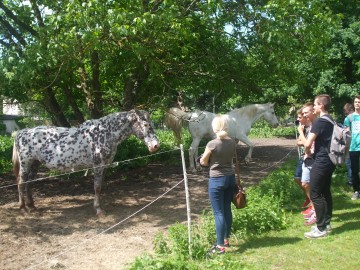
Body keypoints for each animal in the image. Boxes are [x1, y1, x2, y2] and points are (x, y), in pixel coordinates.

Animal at [12, 108, 159, 216]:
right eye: (145, 124)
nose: (155, 146)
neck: (105, 133)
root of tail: (22, 132)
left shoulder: (105, 166)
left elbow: (100, 187)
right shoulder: (98, 166)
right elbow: (97, 187)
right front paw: (99, 210)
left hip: (35, 163)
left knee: (29, 183)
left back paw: (32, 205)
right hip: (26, 163)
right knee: (21, 182)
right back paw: (23, 208)